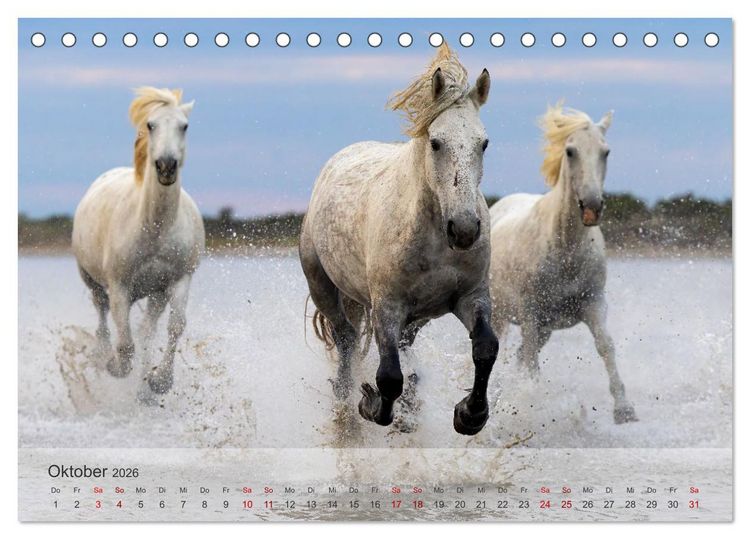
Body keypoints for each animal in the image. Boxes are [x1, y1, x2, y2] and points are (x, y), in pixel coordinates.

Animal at [72, 87, 205, 394]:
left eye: (184, 126)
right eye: (151, 125)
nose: (166, 166)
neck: (155, 229)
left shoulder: (179, 279)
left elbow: (174, 327)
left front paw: (159, 382)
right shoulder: (119, 285)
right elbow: (125, 341)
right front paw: (115, 366)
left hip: (155, 293)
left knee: (147, 330)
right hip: (92, 280)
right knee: (103, 315)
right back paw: (103, 355)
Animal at [300, 44, 499, 436]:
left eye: (483, 143)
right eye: (436, 143)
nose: (464, 230)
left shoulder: (470, 296)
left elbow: (486, 348)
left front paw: (470, 415)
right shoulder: (386, 305)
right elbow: (389, 375)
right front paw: (370, 403)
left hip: (418, 314)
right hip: (323, 286)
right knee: (346, 340)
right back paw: (346, 399)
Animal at [488, 103, 637, 424]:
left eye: (606, 151)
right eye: (570, 151)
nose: (592, 206)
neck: (564, 250)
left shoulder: (593, 303)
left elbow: (606, 346)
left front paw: (624, 409)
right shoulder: (530, 313)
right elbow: (531, 361)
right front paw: (530, 406)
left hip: (545, 327)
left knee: (518, 356)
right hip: (501, 315)